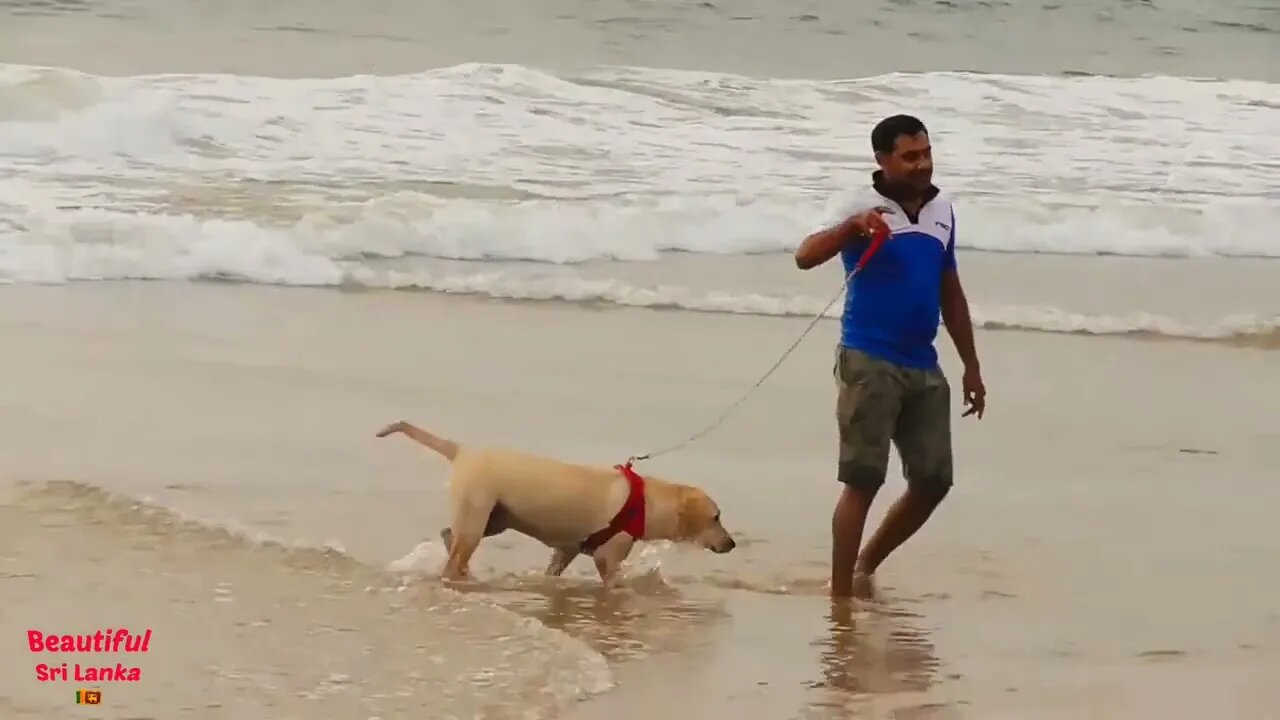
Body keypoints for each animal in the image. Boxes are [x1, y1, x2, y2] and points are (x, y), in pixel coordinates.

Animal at [373, 417, 737, 586]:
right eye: (716, 517)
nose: (732, 544)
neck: (647, 502)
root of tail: (463, 451)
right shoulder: (608, 556)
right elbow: (615, 581)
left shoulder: (567, 549)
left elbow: (555, 569)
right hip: (478, 516)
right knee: (455, 552)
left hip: (495, 519)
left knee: (449, 535)